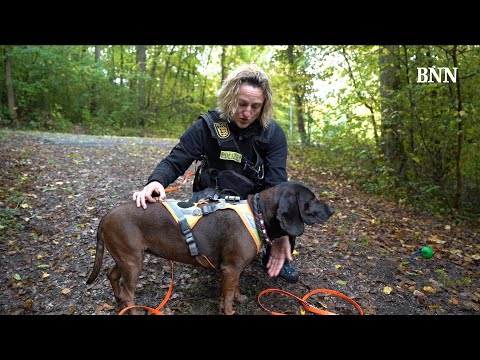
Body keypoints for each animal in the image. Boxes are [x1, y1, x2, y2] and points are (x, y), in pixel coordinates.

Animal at [86, 181, 334, 314]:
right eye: (311, 199)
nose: (332, 210)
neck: (257, 214)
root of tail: (107, 215)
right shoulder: (231, 269)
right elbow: (227, 297)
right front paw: (230, 310)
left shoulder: (233, 270)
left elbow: (233, 290)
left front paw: (238, 298)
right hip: (132, 262)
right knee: (129, 292)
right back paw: (133, 308)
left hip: (126, 258)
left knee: (111, 275)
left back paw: (118, 298)